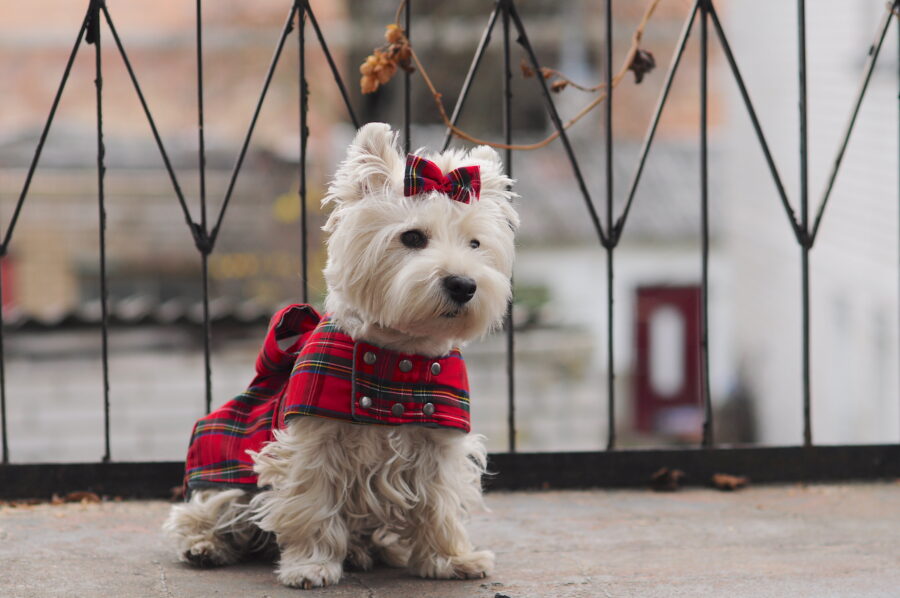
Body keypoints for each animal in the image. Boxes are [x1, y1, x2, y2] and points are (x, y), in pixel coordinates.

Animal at [163, 122, 520, 592]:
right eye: (412, 237)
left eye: (475, 243)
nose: (463, 285)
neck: (399, 358)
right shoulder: (313, 444)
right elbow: (312, 502)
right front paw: (310, 567)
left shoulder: (439, 446)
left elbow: (440, 504)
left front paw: (451, 559)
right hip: (225, 477)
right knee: (206, 511)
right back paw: (204, 546)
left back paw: (367, 551)